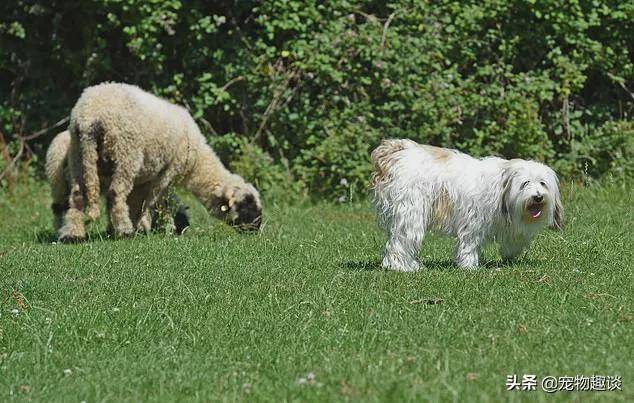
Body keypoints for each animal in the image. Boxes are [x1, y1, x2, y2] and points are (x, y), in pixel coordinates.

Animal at [368, 139, 560, 272]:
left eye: (542, 183)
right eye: (525, 183)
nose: (537, 197)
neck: (502, 188)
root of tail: (396, 151)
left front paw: (510, 255)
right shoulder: (474, 220)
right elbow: (470, 243)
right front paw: (470, 267)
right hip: (411, 212)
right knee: (400, 242)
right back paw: (402, 267)